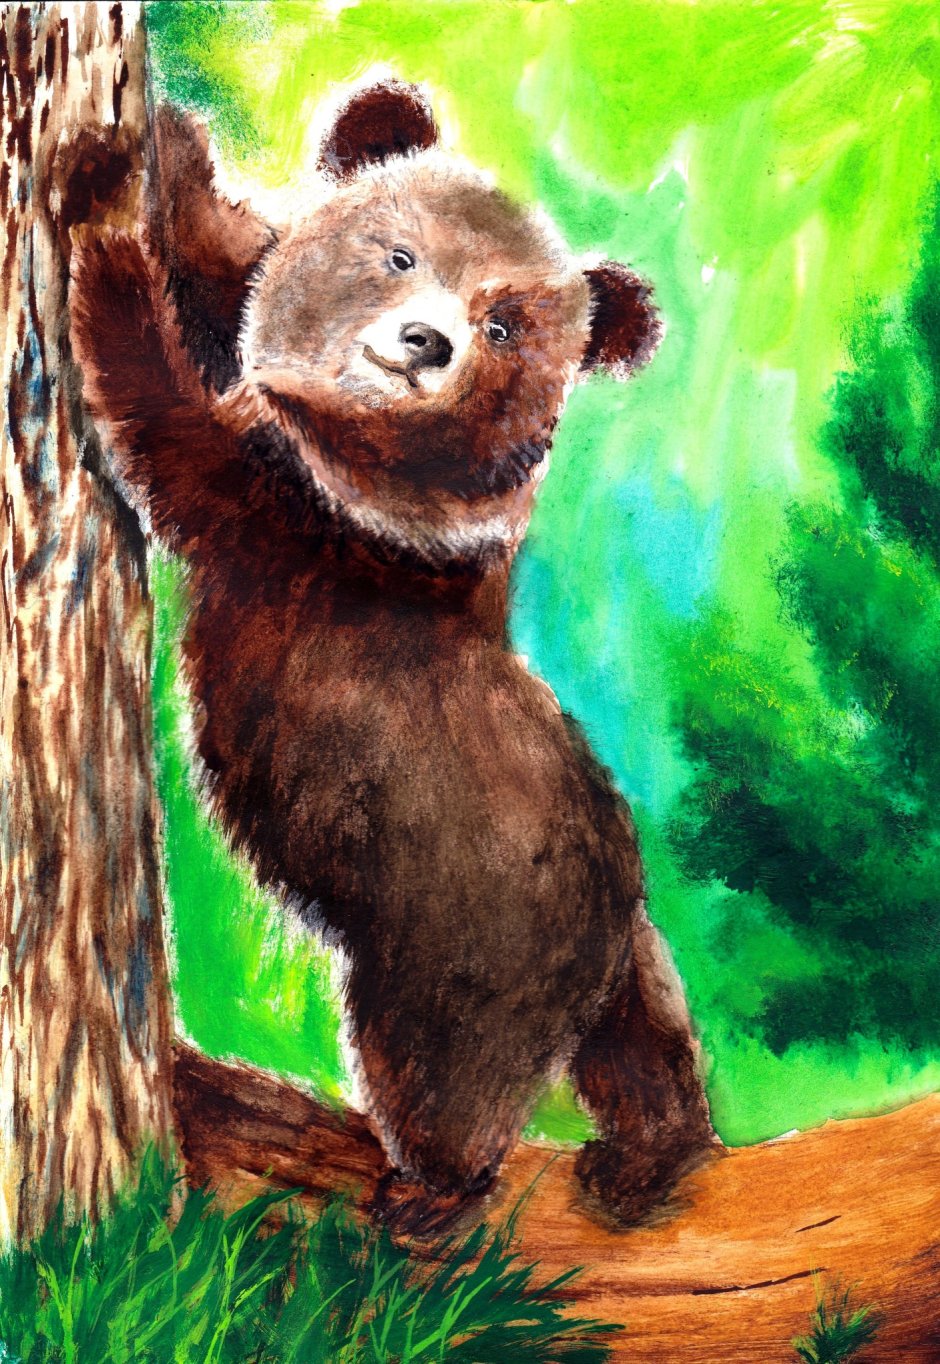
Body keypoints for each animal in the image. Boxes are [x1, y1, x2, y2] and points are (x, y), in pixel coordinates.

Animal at [69, 80, 715, 1234]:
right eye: (399, 254)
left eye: (503, 323)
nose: (424, 342)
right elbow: (222, 263)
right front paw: (161, 148)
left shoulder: (320, 519)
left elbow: (173, 429)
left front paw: (98, 233)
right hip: (622, 942)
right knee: (645, 1035)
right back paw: (649, 1154)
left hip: (456, 929)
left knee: (436, 1064)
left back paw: (428, 1189)